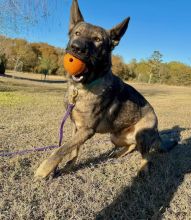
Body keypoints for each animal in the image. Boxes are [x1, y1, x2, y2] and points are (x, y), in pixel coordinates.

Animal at [34, 0, 176, 179]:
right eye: (77, 33)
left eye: (97, 40)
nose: (76, 47)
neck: (83, 88)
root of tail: (156, 126)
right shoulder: (77, 127)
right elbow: (73, 150)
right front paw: (69, 166)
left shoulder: (87, 130)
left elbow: (61, 149)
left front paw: (44, 169)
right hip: (114, 137)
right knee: (132, 145)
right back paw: (118, 153)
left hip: (141, 134)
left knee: (146, 155)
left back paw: (143, 170)